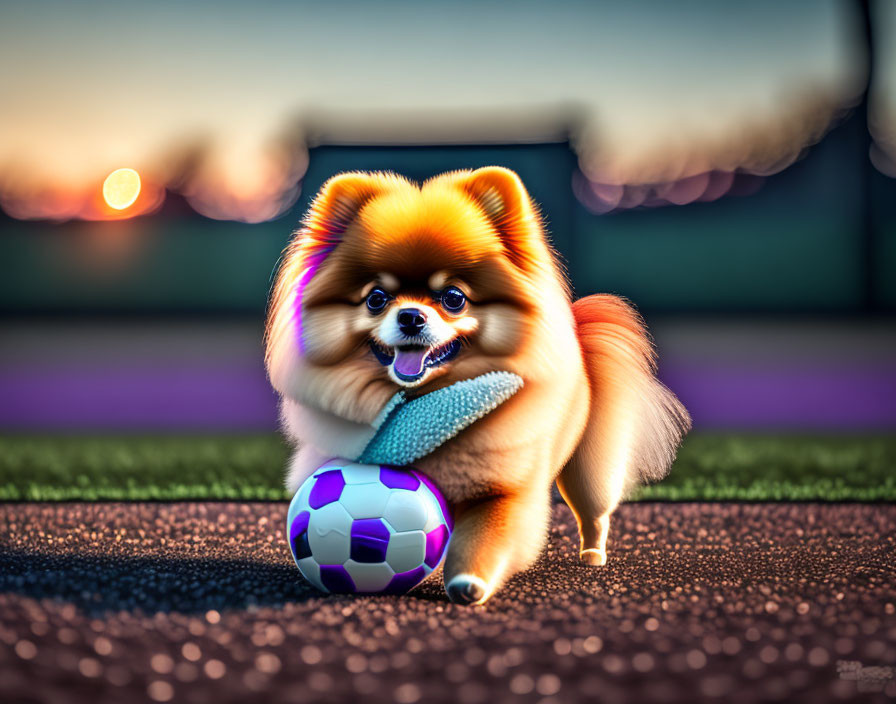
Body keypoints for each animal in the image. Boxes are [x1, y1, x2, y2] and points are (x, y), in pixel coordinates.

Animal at [262, 166, 688, 604]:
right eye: (376, 298)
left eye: (453, 297)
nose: (411, 316)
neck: (424, 398)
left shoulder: (504, 489)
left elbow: (486, 536)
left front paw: (469, 581)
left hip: (588, 468)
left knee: (595, 511)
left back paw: (592, 554)